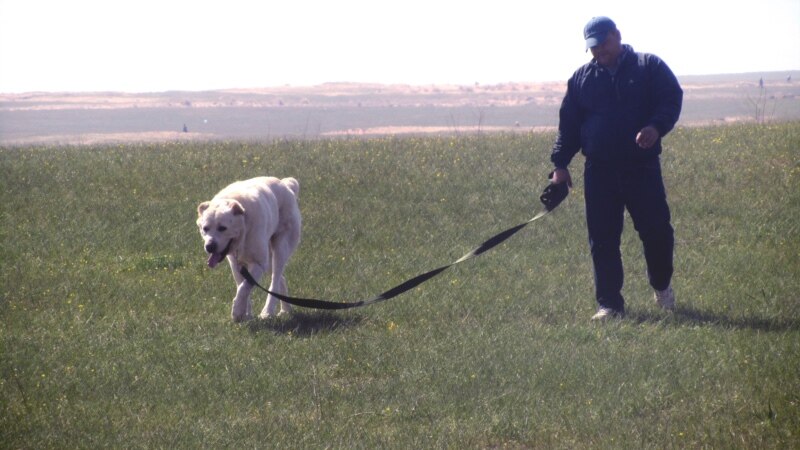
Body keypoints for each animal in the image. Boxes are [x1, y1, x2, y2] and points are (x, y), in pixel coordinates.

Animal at [198, 178, 304, 322]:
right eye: (205, 228)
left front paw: (237, 311)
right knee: (281, 279)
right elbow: (242, 287)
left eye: (222, 228)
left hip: (280, 249)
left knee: (275, 280)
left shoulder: (258, 264)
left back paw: (267, 311)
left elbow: (244, 287)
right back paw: (285, 310)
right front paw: (245, 314)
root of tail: (286, 185)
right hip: (268, 260)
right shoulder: (236, 264)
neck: (244, 227)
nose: (209, 247)